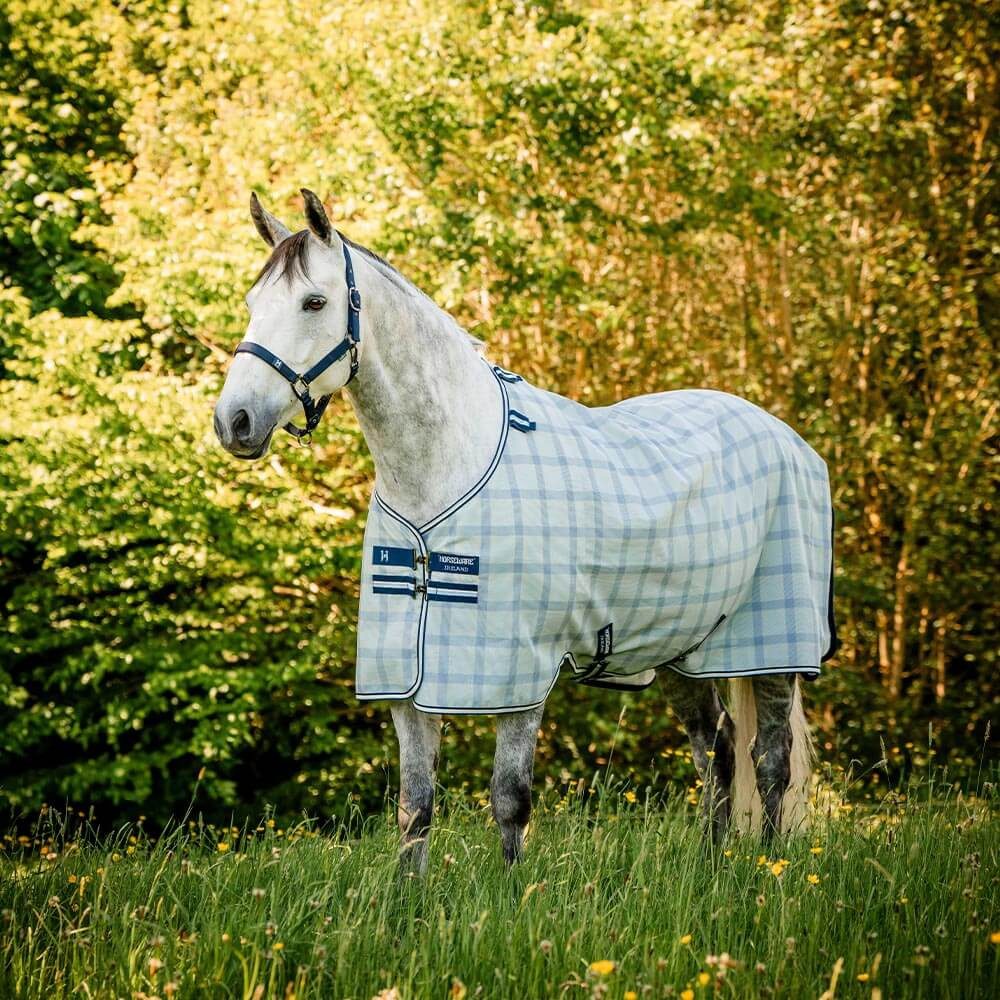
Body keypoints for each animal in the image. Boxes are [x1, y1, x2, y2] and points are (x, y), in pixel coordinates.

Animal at [214, 190, 838, 872]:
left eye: (314, 302)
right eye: (253, 303)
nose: (234, 421)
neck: (444, 469)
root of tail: (784, 436)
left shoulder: (518, 676)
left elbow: (510, 800)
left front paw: (514, 892)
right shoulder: (407, 683)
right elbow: (415, 809)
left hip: (771, 648)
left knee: (770, 761)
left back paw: (768, 868)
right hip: (681, 644)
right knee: (717, 749)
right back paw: (711, 864)